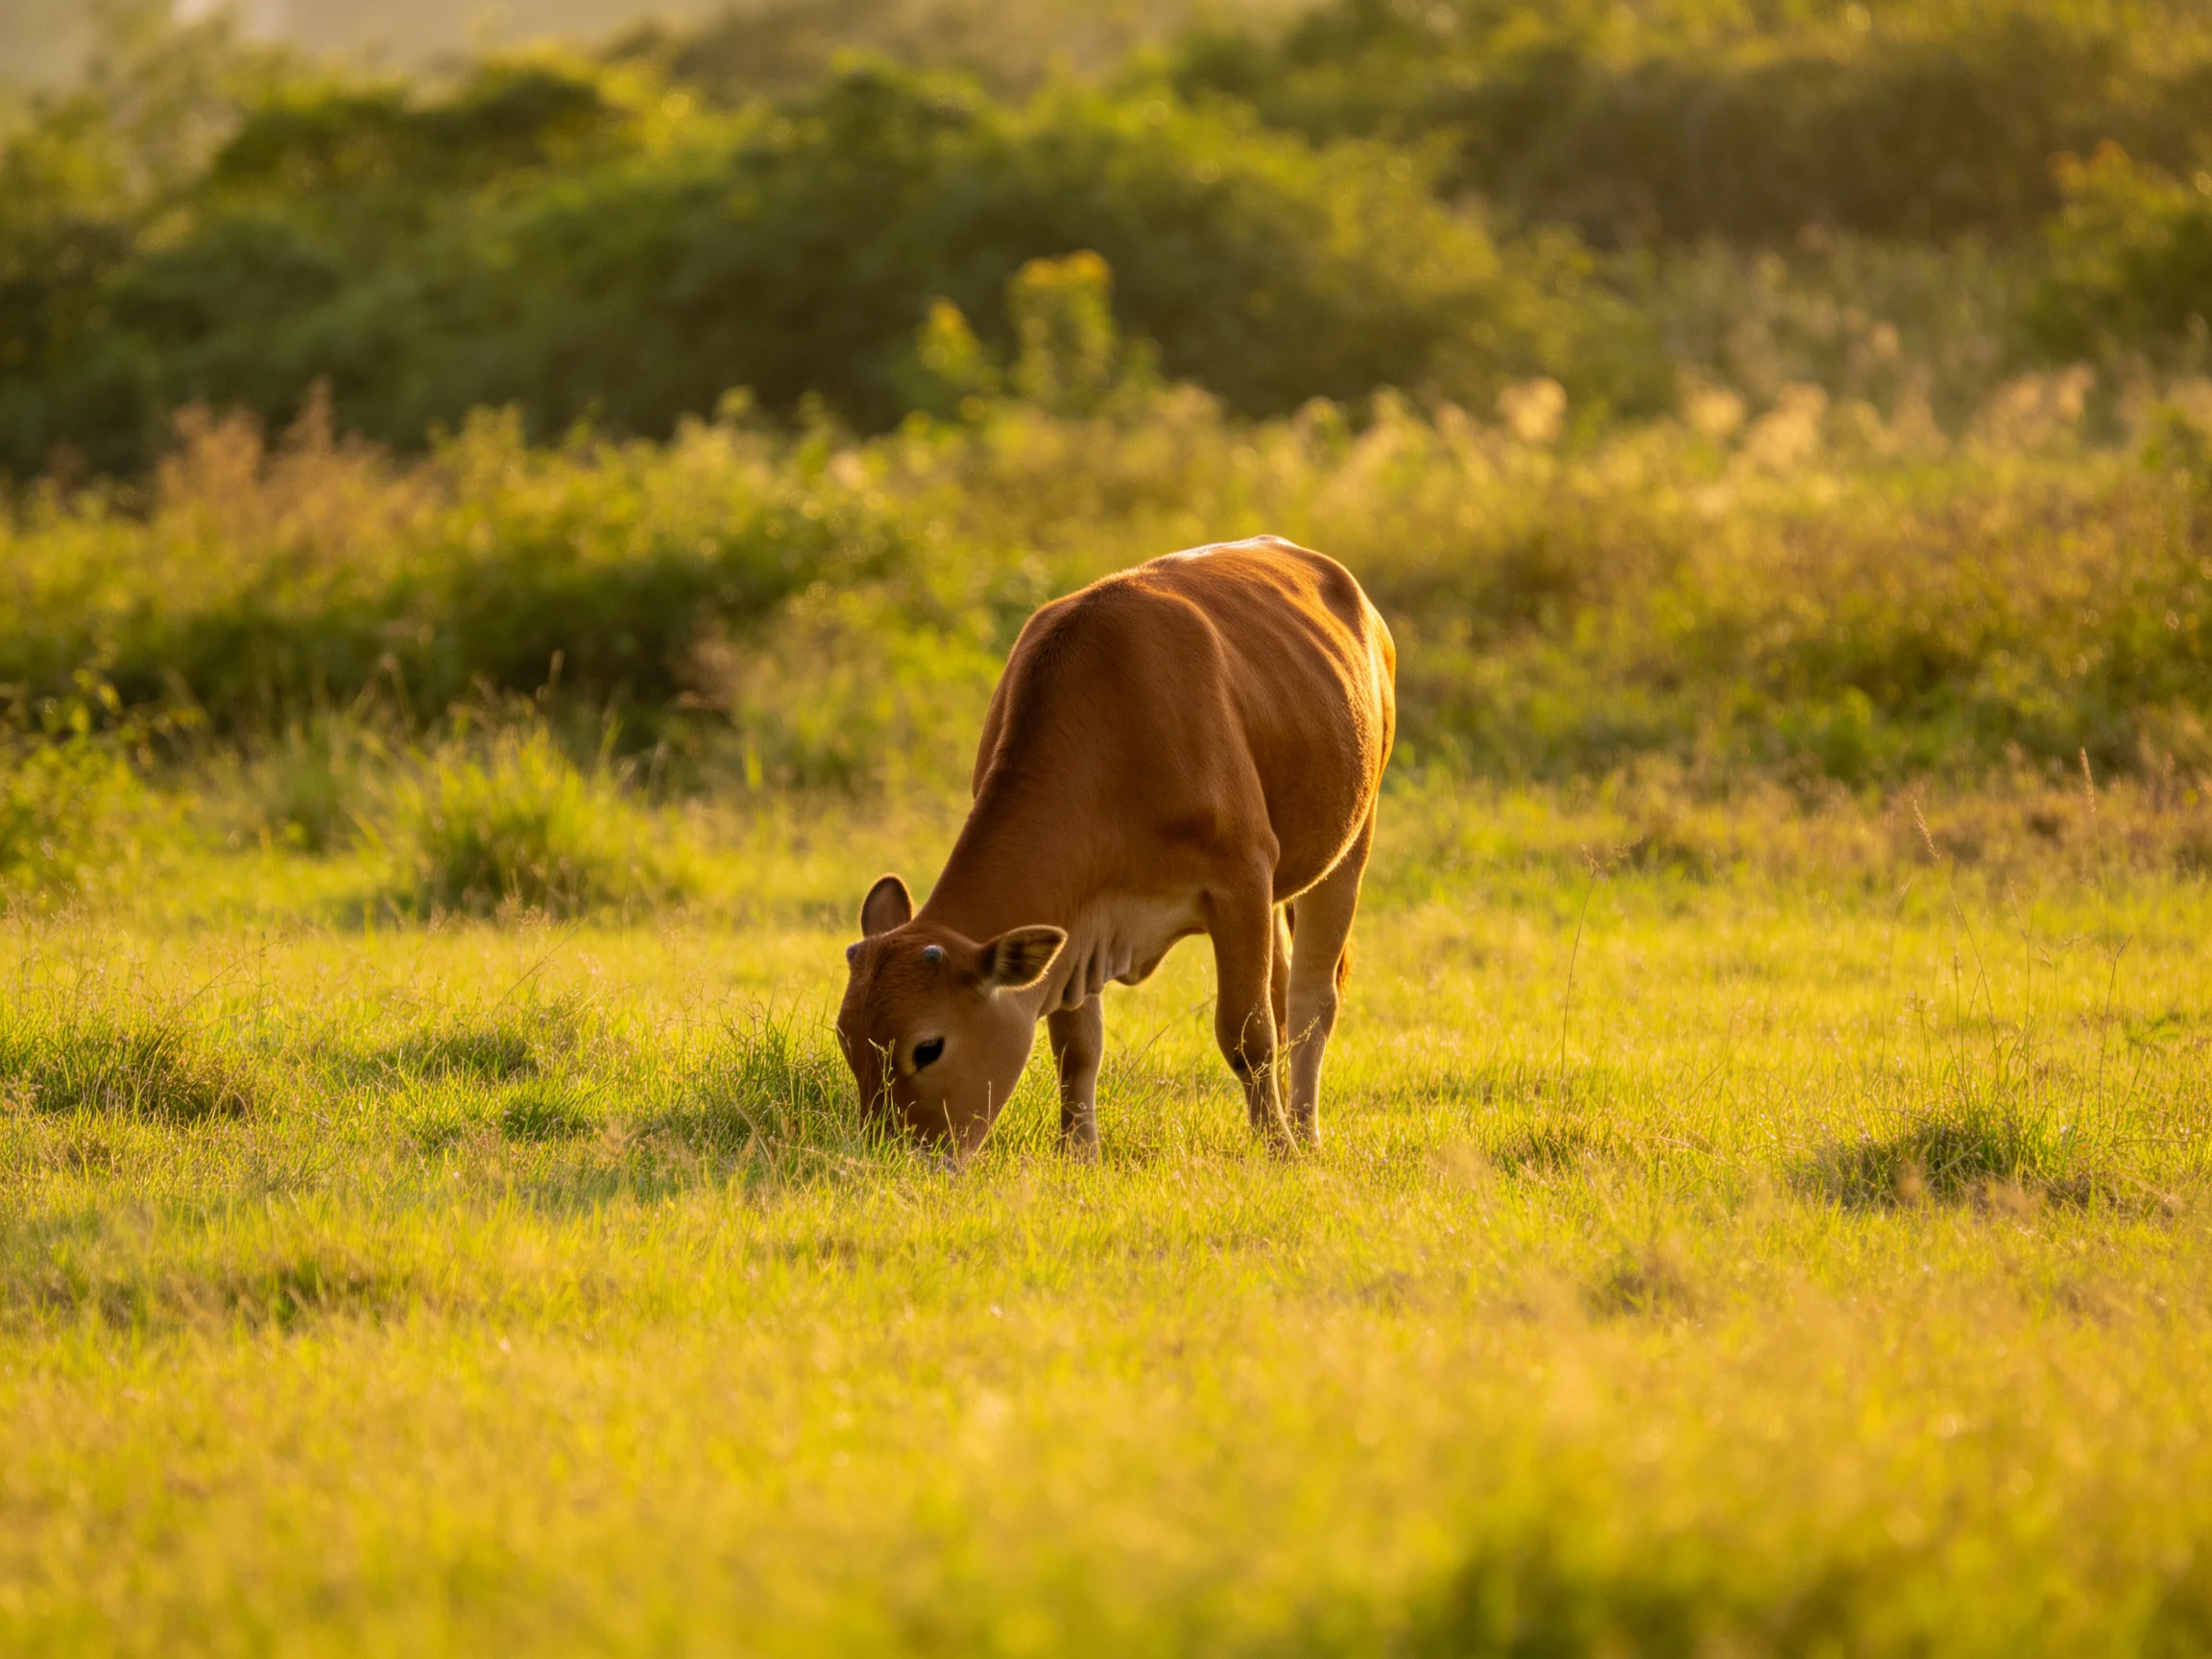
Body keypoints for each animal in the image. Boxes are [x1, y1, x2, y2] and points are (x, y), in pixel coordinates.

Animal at [836, 536, 1395, 1158]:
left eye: (928, 1047)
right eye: (845, 1039)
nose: (888, 1154)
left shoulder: (1241, 879)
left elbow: (1247, 1035)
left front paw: (1277, 1151)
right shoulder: (1078, 922)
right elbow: (1076, 1046)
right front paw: (1079, 1153)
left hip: (1351, 841)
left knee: (1308, 1003)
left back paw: (1303, 1133)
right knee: (1281, 989)